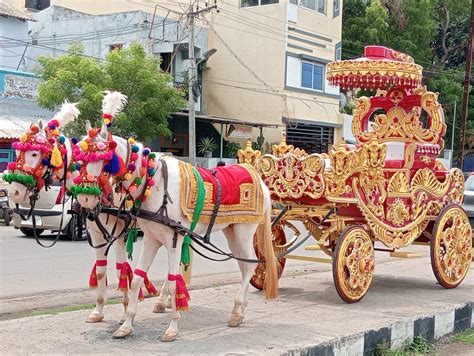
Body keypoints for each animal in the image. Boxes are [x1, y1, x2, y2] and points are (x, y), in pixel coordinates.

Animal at [75, 123, 278, 342]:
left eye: (102, 158)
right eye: (80, 159)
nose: (85, 198)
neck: (154, 182)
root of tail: (259, 179)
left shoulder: (173, 239)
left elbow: (173, 283)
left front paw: (172, 328)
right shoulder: (150, 239)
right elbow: (136, 279)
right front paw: (126, 325)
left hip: (244, 232)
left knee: (249, 266)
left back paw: (236, 310)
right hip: (231, 231)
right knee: (243, 265)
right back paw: (240, 311)